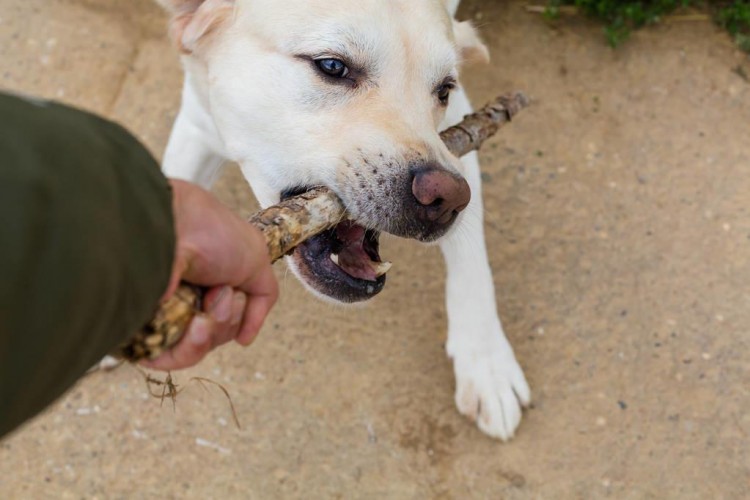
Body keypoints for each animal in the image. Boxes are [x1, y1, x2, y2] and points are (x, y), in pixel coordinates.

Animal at [156, 0, 532, 440]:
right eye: (332, 66)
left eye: (443, 90)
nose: (447, 199)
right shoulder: (198, 121)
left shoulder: (459, 133)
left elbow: (472, 261)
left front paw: (486, 362)